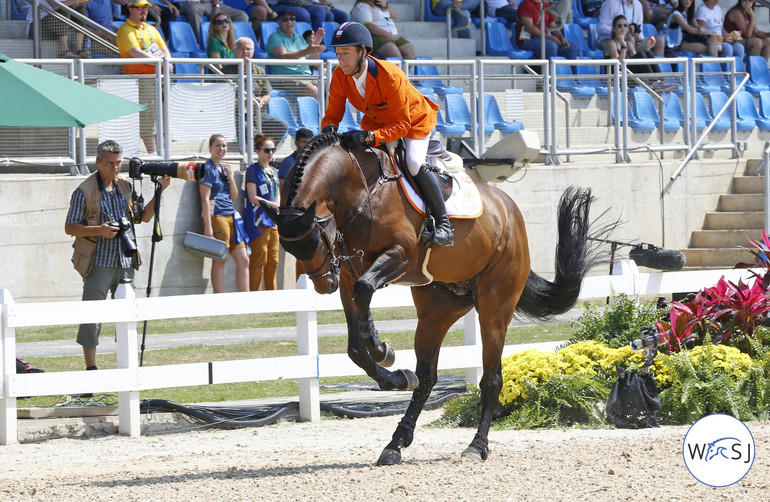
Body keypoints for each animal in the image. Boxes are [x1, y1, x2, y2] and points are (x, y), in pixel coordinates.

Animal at [260, 132, 604, 462]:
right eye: (291, 248)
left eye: (316, 237)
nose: (323, 285)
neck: (359, 189)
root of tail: (509, 211)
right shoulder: (347, 274)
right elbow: (355, 343)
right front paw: (393, 373)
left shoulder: (398, 255)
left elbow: (366, 291)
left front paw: (381, 347)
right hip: (437, 311)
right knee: (427, 377)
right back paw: (396, 443)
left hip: (495, 305)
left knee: (491, 379)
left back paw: (476, 446)